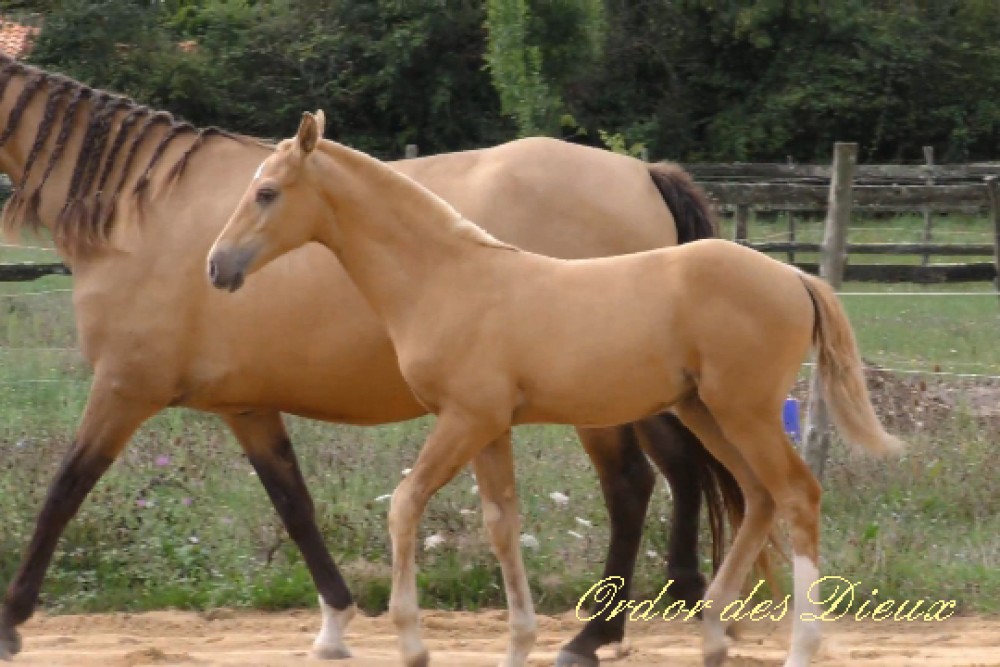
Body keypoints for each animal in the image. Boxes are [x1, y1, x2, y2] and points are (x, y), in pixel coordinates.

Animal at [0, 54, 748, 664]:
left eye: (265, 194)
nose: (218, 267)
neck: (139, 212)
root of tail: (643, 172)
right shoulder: (244, 405)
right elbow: (294, 503)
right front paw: (335, 622)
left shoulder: (125, 388)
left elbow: (63, 492)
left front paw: (11, 621)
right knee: (676, 473)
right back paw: (667, 603)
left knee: (631, 485)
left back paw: (596, 633)